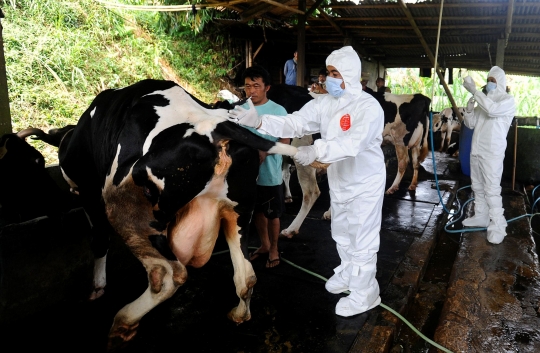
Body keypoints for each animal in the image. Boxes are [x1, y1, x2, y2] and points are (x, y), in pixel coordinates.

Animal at [30, 78, 298, 348]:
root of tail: (218, 124)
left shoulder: (89, 193)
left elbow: (99, 240)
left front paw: (97, 288)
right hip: (238, 211)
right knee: (246, 277)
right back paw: (238, 314)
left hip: (125, 206)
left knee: (168, 274)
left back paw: (122, 323)